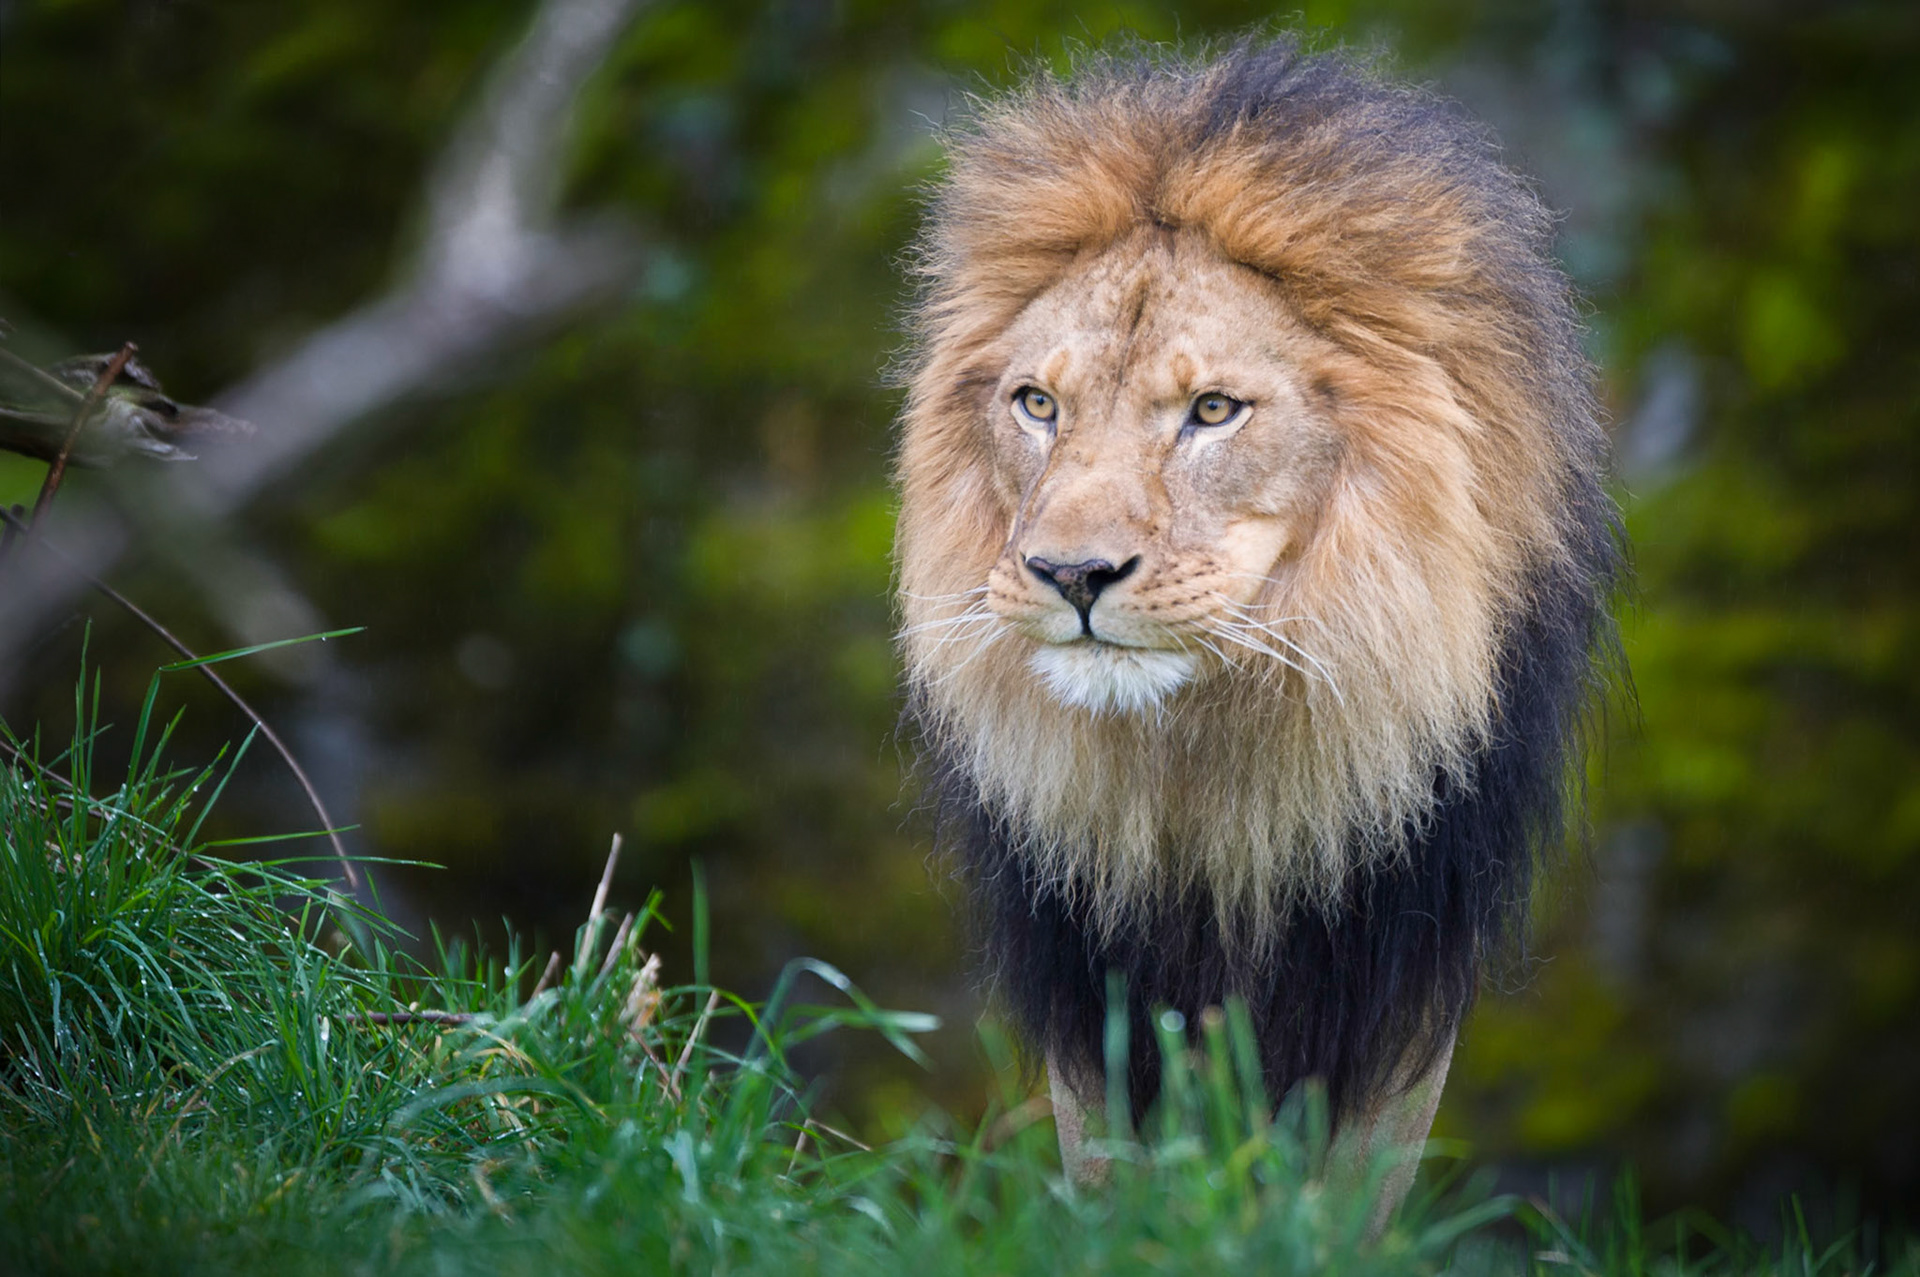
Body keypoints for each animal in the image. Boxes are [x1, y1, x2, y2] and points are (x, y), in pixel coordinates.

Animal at [893, 37, 1621, 1226]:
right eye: (1038, 404)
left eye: (1213, 411)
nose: (1072, 573)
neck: (1209, 767)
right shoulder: (1089, 969)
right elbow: (1111, 1169)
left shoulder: (1395, 954)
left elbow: (1350, 1193)